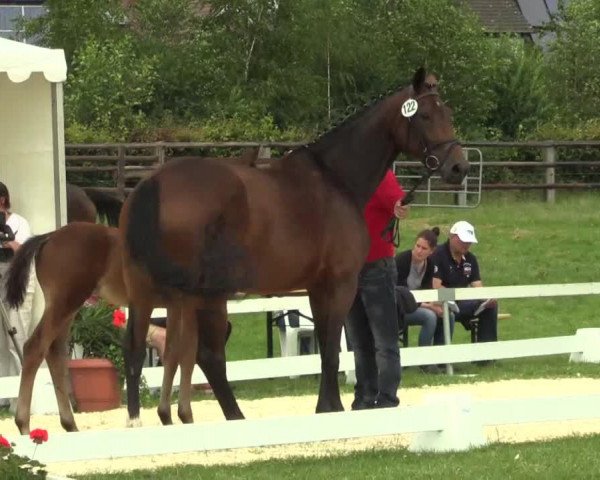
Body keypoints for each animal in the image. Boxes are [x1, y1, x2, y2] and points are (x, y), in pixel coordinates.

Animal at [120, 66, 468, 424]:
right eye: (425, 115)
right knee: (208, 355)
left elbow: (329, 348)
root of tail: (153, 183)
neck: (335, 179)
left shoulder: (316, 287)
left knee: (140, 351)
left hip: (148, 290)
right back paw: (234, 418)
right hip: (207, 294)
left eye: (448, 113)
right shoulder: (339, 283)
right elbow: (330, 351)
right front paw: (330, 408)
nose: (459, 166)